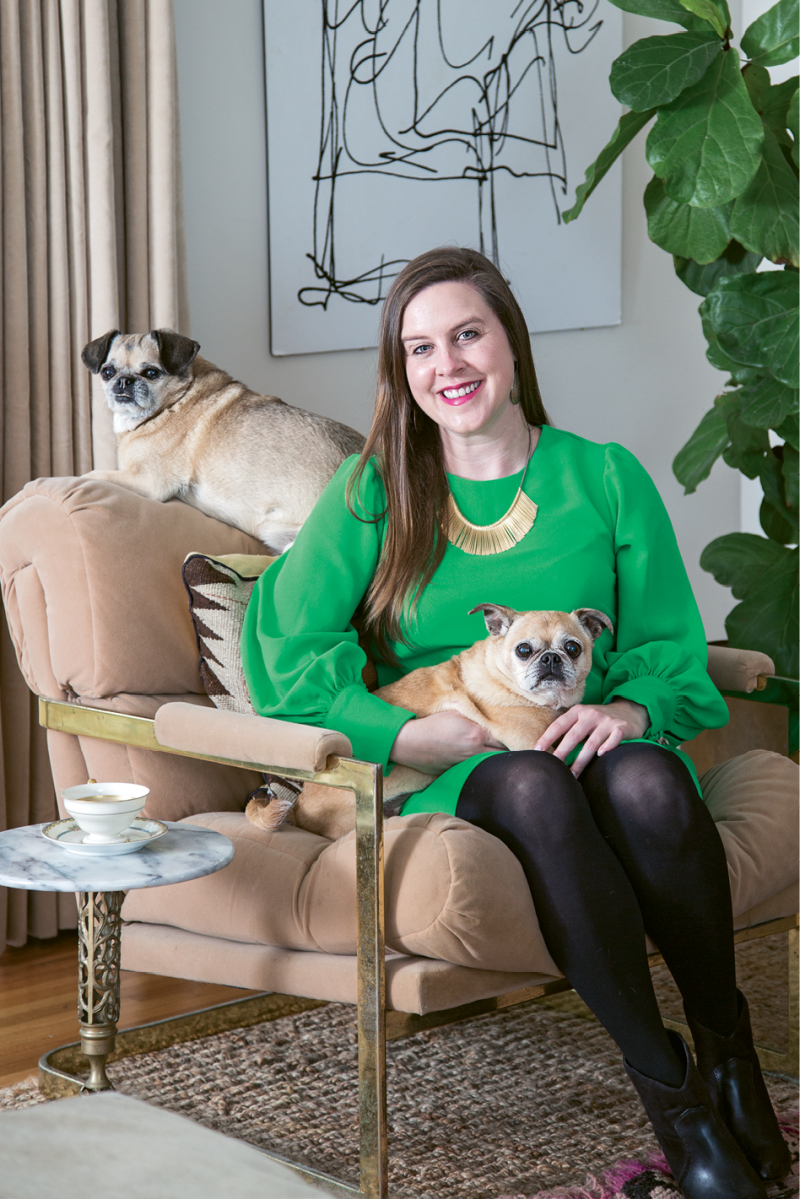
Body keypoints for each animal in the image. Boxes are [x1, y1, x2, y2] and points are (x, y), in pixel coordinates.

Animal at [79, 328, 367, 551]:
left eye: (151, 373)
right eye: (108, 372)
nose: (123, 381)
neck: (173, 403)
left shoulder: (150, 482)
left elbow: (92, 474)